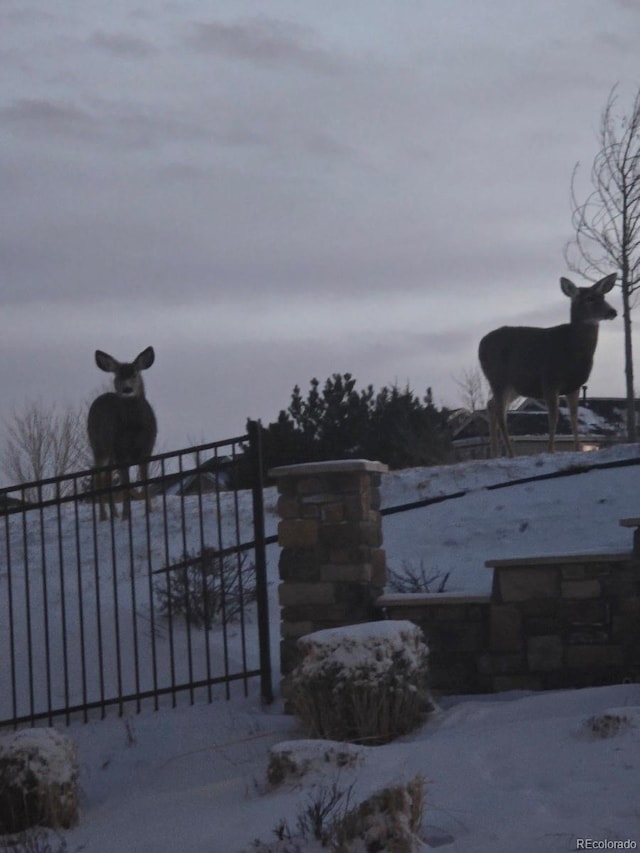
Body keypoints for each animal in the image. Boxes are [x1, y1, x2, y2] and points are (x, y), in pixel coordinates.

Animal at [87, 346, 157, 520]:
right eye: (118, 375)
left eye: (135, 374)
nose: (127, 389)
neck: (134, 428)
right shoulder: (120, 451)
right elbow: (126, 484)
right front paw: (126, 515)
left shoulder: (147, 448)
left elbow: (145, 479)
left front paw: (149, 510)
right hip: (99, 446)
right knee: (98, 478)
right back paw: (104, 516)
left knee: (107, 478)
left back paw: (114, 513)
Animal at [480, 274, 616, 460]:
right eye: (590, 298)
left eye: (603, 296)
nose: (613, 312)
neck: (572, 349)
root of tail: (481, 345)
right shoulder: (550, 380)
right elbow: (554, 416)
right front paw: (551, 450)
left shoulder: (575, 385)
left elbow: (574, 417)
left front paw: (577, 449)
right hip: (497, 377)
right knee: (501, 413)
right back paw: (511, 453)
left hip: (513, 386)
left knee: (491, 405)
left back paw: (495, 454)